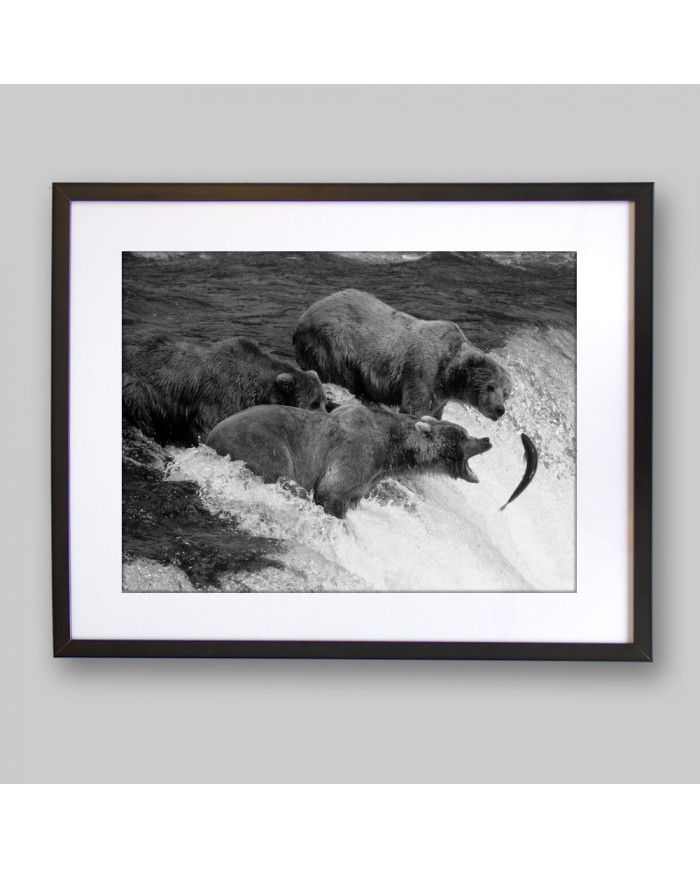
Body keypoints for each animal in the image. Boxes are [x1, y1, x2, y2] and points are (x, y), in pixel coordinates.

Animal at [123, 333, 328, 446]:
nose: (327, 418)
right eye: (313, 403)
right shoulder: (221, 395)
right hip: (139, 385)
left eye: (324, 402)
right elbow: (209, 427)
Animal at [205, 403, 492, 519]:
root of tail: (209, 437)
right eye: (464, 435)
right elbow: (332, 490)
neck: (391, 449)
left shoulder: (369, 476)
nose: (487, 439)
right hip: (262, 443)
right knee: (279, 471)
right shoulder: (356, 451)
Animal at [293, 288, 512, 421]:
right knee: (339, 375)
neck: (449, 374)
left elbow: (434, 413)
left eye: (506, 393)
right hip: (334, 343)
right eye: (490, 386)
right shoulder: (423, 371)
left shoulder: (440, 395)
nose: (500, 409)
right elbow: (415, 407)